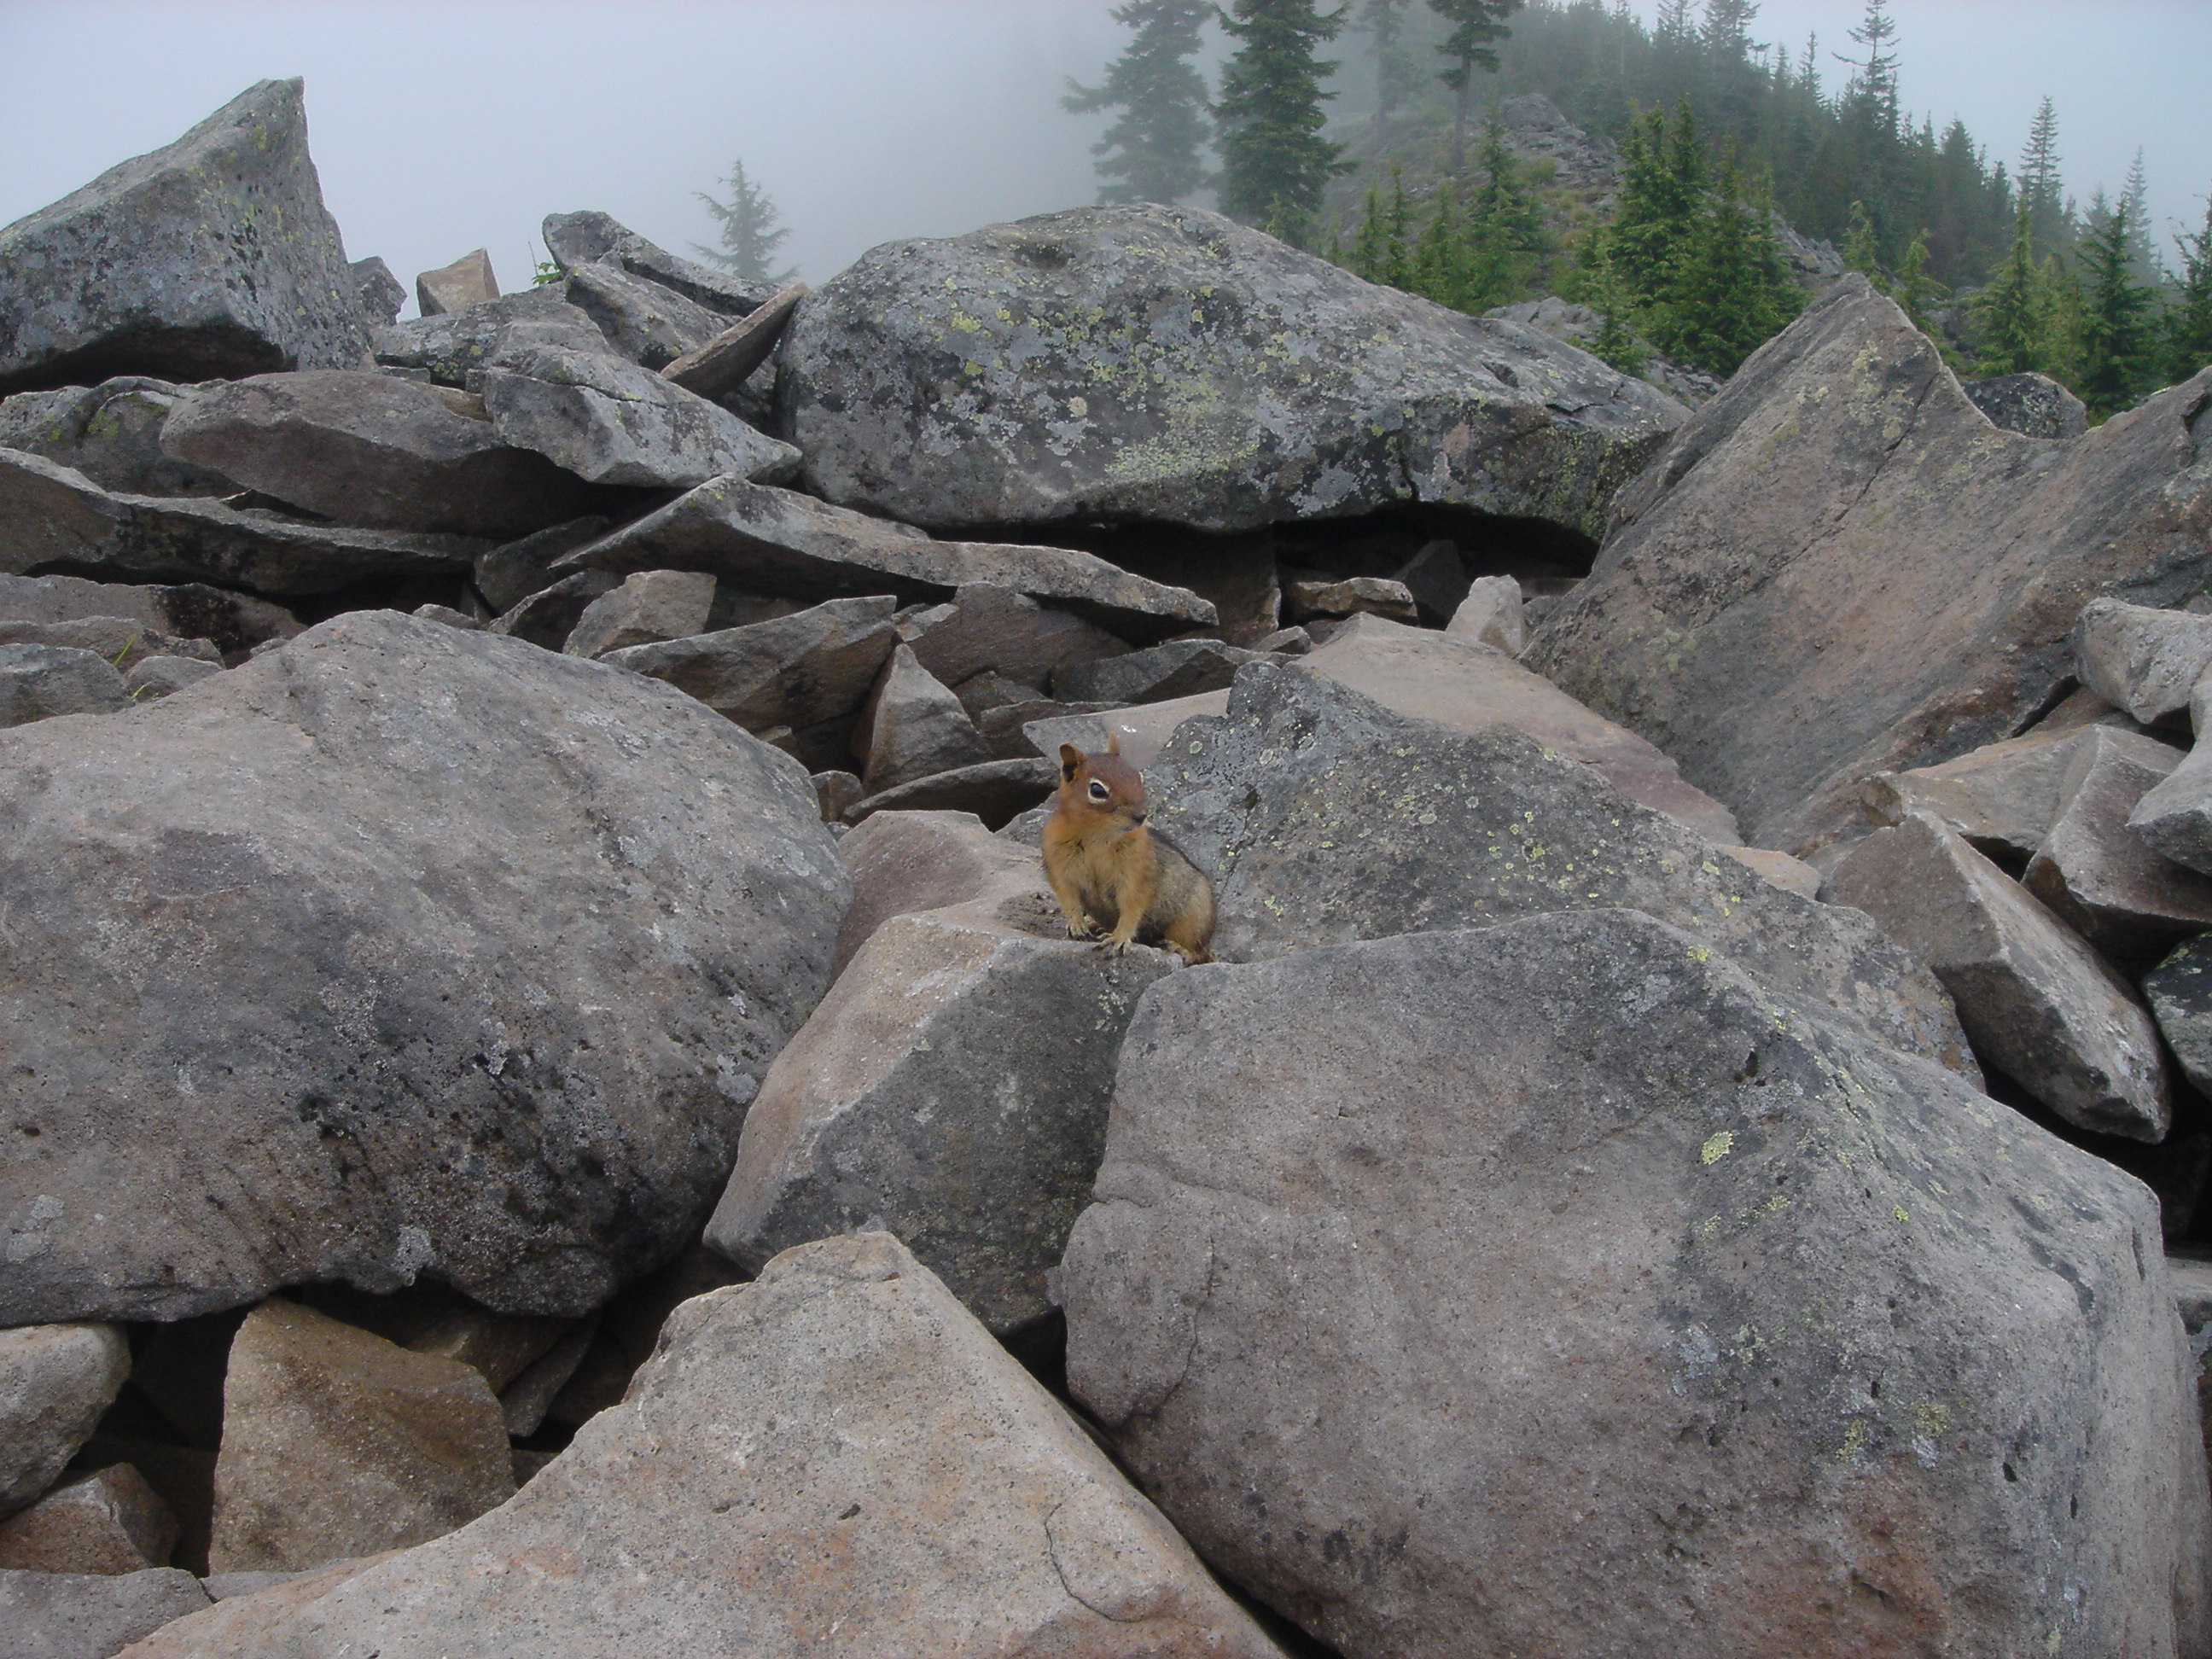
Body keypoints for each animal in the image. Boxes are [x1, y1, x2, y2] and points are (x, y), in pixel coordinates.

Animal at [1042, 733, 1216, 965]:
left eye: (1138, 778)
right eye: (1097, 790)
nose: (1142, 815)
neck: (1098, 835)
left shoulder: (1137, 872)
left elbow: (1132, 907)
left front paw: (1118, 938)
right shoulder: (1059, 865)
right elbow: (1068, 897)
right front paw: (1077, 924)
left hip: (1192, 919)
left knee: (1199, 952)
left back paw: (1179, 948)